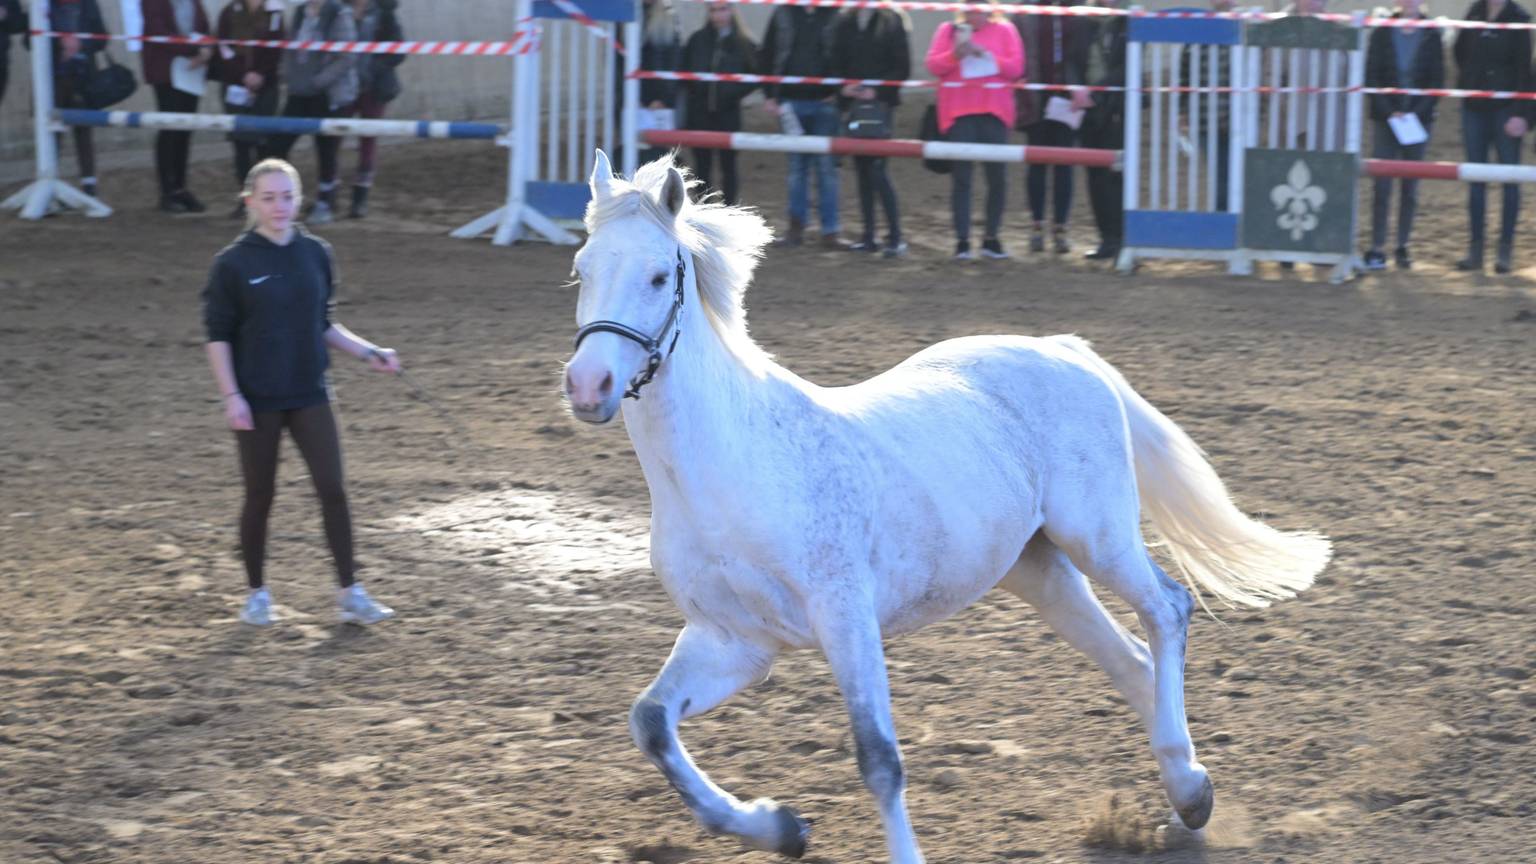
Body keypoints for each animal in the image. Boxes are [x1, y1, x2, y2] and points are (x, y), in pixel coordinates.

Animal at [560, 151, 1331, 864]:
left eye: (659, 276)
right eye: (581, 267)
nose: (588, 383)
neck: (727, 469)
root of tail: (1064, 350)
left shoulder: (845, 618)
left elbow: (879, 759)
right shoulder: (733, 640)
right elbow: (651, 723)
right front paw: (781, 828)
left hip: (1098, 536)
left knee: (1167, 610)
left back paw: (1192, 792)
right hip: (1036, 569)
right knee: (1131, 661)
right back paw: (1183, 800)